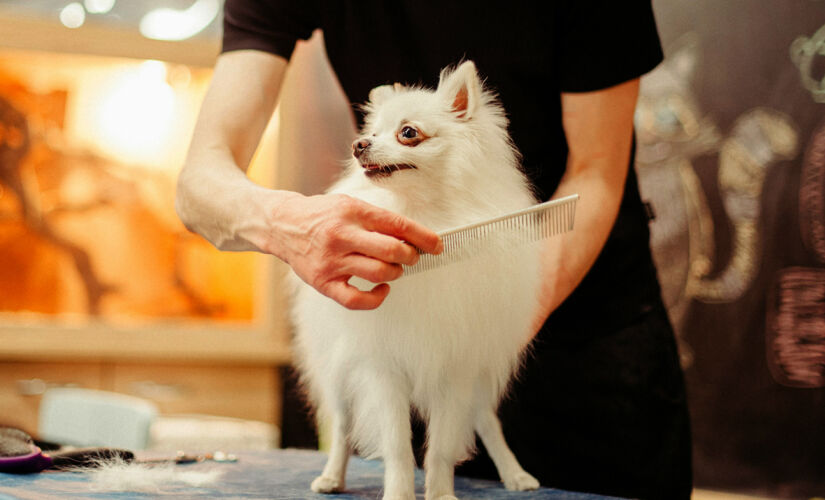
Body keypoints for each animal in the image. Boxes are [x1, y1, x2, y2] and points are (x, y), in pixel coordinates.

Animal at [292, 60, 544, 498]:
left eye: (408, 133)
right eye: (373, 133)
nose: (359, 144)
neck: (422, 215)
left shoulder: (457, 368)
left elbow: (441, 447)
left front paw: (441, 493)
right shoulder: (382, 367)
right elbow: (398, 446)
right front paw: (399, 492)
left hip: (478, 381)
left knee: (487, 422)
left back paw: (515, 475)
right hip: (338, 369)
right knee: (341, 427)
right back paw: (331, 476)